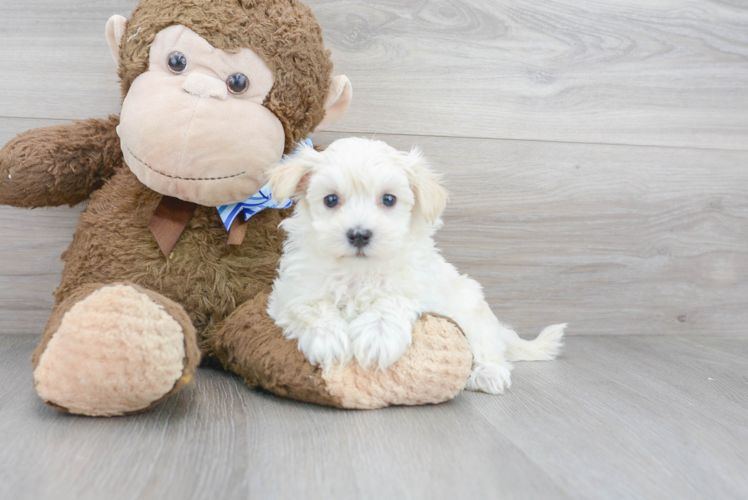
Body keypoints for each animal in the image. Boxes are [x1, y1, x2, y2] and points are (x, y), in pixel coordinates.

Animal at [266, 138, 564, 394]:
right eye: (330, 200)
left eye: (388, 199)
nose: (359, 234)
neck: (358, 272)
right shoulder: (290, 292)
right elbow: (311, 306)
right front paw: (328, 339)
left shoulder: (418, 286)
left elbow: (391, 299)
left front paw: (377, 336)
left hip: (473, 313)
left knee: (488, 348)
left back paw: (489, 373)